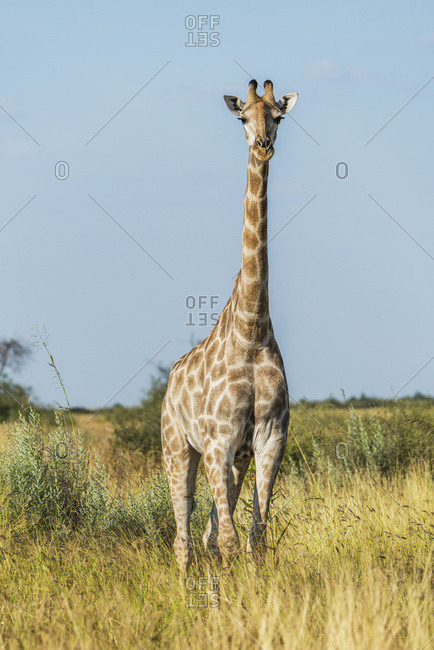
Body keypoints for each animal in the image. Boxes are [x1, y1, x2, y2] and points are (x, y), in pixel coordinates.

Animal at [161, 79, 298, 572]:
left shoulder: (268, 438)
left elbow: (254, 537)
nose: (263, 146)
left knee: (206, 533)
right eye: (242, 117)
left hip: (235, 459)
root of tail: (170, 380)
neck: (252, 330)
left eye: (278, 116)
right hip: (177, 448)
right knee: (184, 536)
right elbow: (230, 540)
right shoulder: (217, 441)